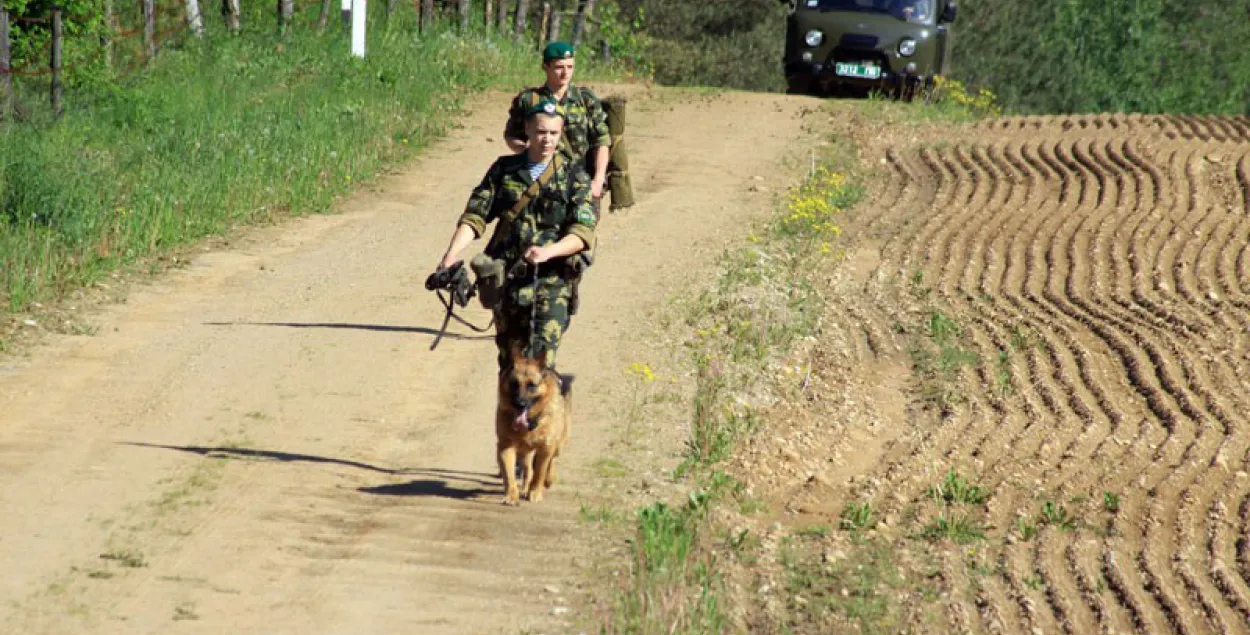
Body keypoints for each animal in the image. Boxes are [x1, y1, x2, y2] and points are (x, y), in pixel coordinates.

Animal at [497, 347, 575, 505]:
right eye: (514, 384)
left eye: (532, 385)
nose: (520, 404)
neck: (529, 423)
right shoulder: (505, 446)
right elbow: (509, 475)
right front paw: (511, 496)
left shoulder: (545, 449)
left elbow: (540, 472)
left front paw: (535, 492)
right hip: (525, 452)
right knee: (528, 470)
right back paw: (525, 488)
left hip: (558, 445)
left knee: (551, 462)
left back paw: (548, 480)